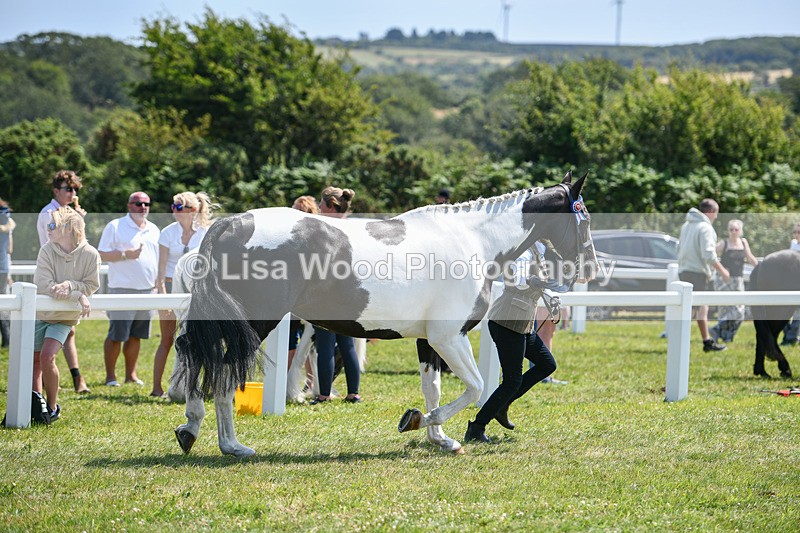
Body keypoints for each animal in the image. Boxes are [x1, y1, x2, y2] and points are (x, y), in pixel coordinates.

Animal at [172, 171, 596, 457]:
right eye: (585, 217)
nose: (588, 268)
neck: (474, 241)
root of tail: (230, 225)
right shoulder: (449, 337)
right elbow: (475, 388)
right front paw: (420, 421)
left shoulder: (429, 340)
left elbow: (433, 387)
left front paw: (440, 439)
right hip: (255, 322)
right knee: (223, 371)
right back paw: (232, 445)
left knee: (195, 354)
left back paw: (190, 428)